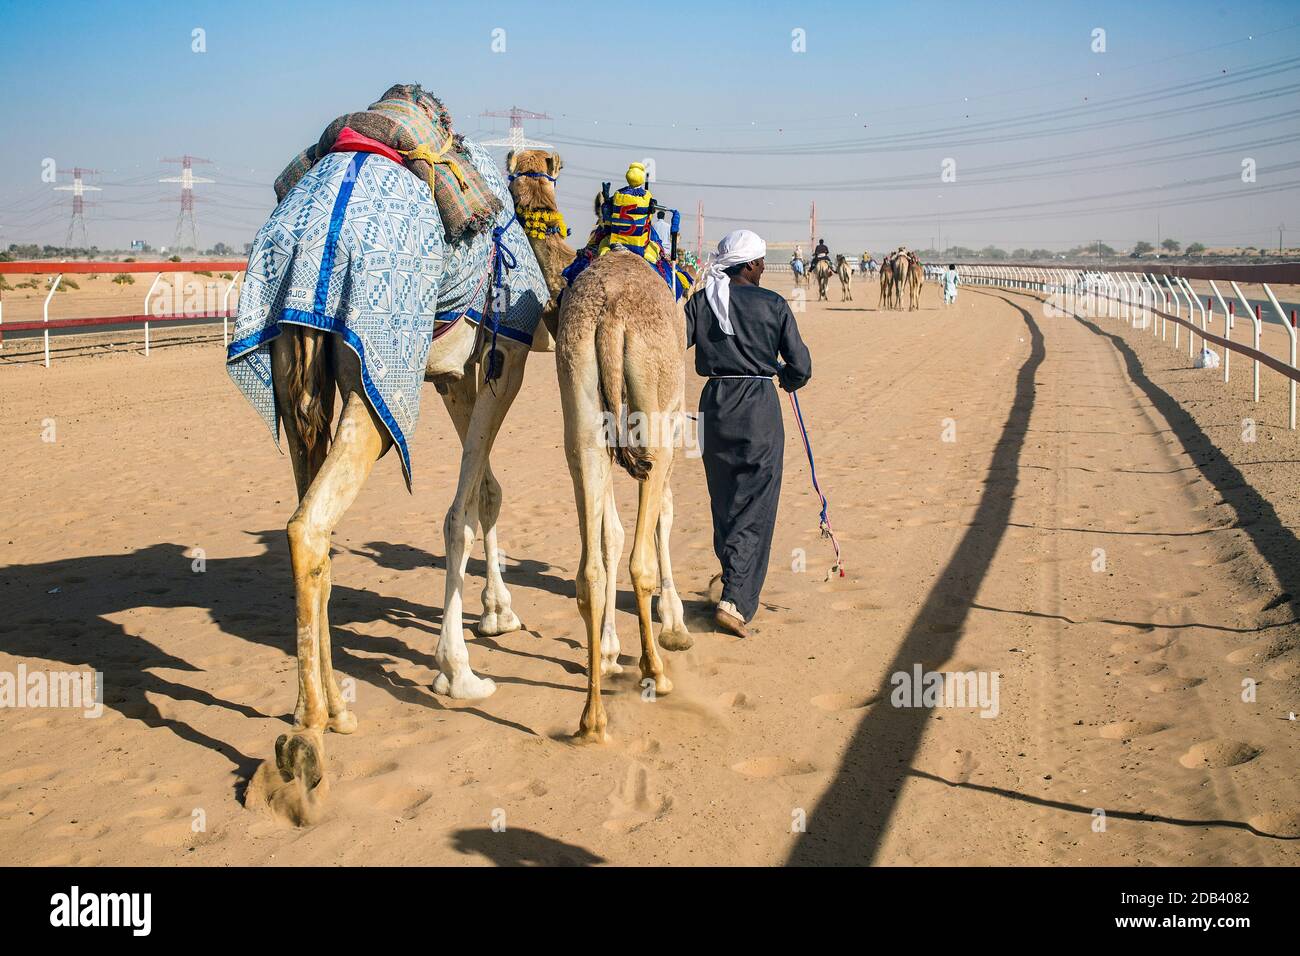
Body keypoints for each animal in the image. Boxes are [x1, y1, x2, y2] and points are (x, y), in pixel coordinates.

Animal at [555, 250, 691, 742]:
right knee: (639, 562)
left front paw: (610, 651)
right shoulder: (673, 423)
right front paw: (676, 625)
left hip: (579, 405)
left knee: (589, 573)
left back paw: (592, 719)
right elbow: (664, 514)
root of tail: (610, 317)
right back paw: (656, 672)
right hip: (653, 409)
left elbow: (610, 533)